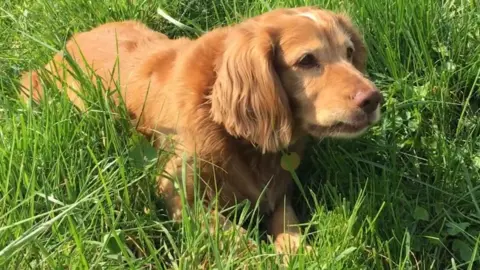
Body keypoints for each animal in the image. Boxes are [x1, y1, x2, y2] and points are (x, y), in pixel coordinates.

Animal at [19, 6, 382, 255]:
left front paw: (297, 252)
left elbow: (287, 224)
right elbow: (238, 239)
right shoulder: (177, 193)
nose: (374, 99)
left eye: (349, 52)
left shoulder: (278, 191)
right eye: (307, 60)